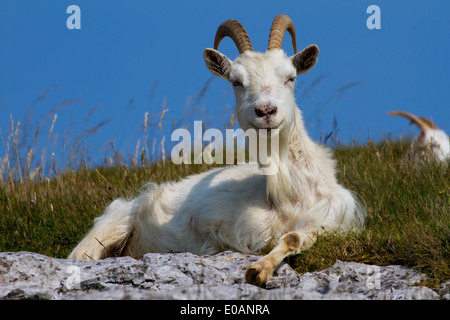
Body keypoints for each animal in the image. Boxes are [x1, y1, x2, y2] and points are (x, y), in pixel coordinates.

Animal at [68, 14, 368, 288]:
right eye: (236, 82)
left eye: (291, 77)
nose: (266, 111)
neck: (290, 196)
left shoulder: (333, 221)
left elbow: (293, 237)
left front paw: (259, 270)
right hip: (112, 226)